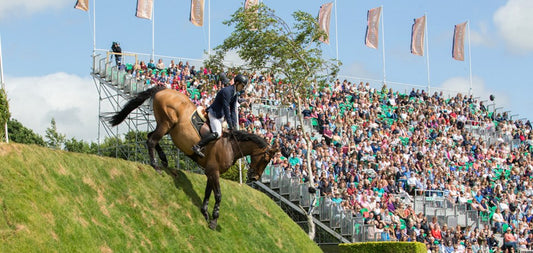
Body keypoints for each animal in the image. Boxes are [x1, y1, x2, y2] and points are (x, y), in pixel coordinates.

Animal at [106, 86, 276, 230]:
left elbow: (208, 193)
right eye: (265, 159)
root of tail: (164, 88)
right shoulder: (214, 171)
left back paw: (164, 159)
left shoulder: (211, 171)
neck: (231, 145)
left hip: (164, 125)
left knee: (150, 136)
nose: (254, 177)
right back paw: (156, 165)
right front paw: (214, 221)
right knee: (151, 140)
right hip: (167, 123)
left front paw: (205, 212)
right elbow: (218, 195)